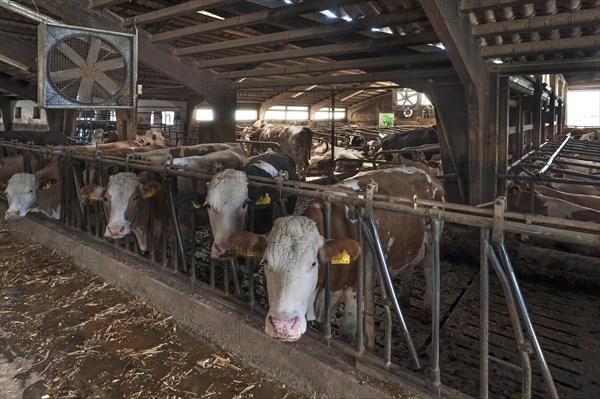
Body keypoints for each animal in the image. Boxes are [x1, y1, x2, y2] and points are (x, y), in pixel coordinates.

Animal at [220, 166, 446, 344]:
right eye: (266, 262)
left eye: (313, 264)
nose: (281, 325)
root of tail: (426, 172)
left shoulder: (355, 288)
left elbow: (346, 330)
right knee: (410, 264)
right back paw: (405, 297)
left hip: (433, 239)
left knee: (429, 269)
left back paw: (427, 307)